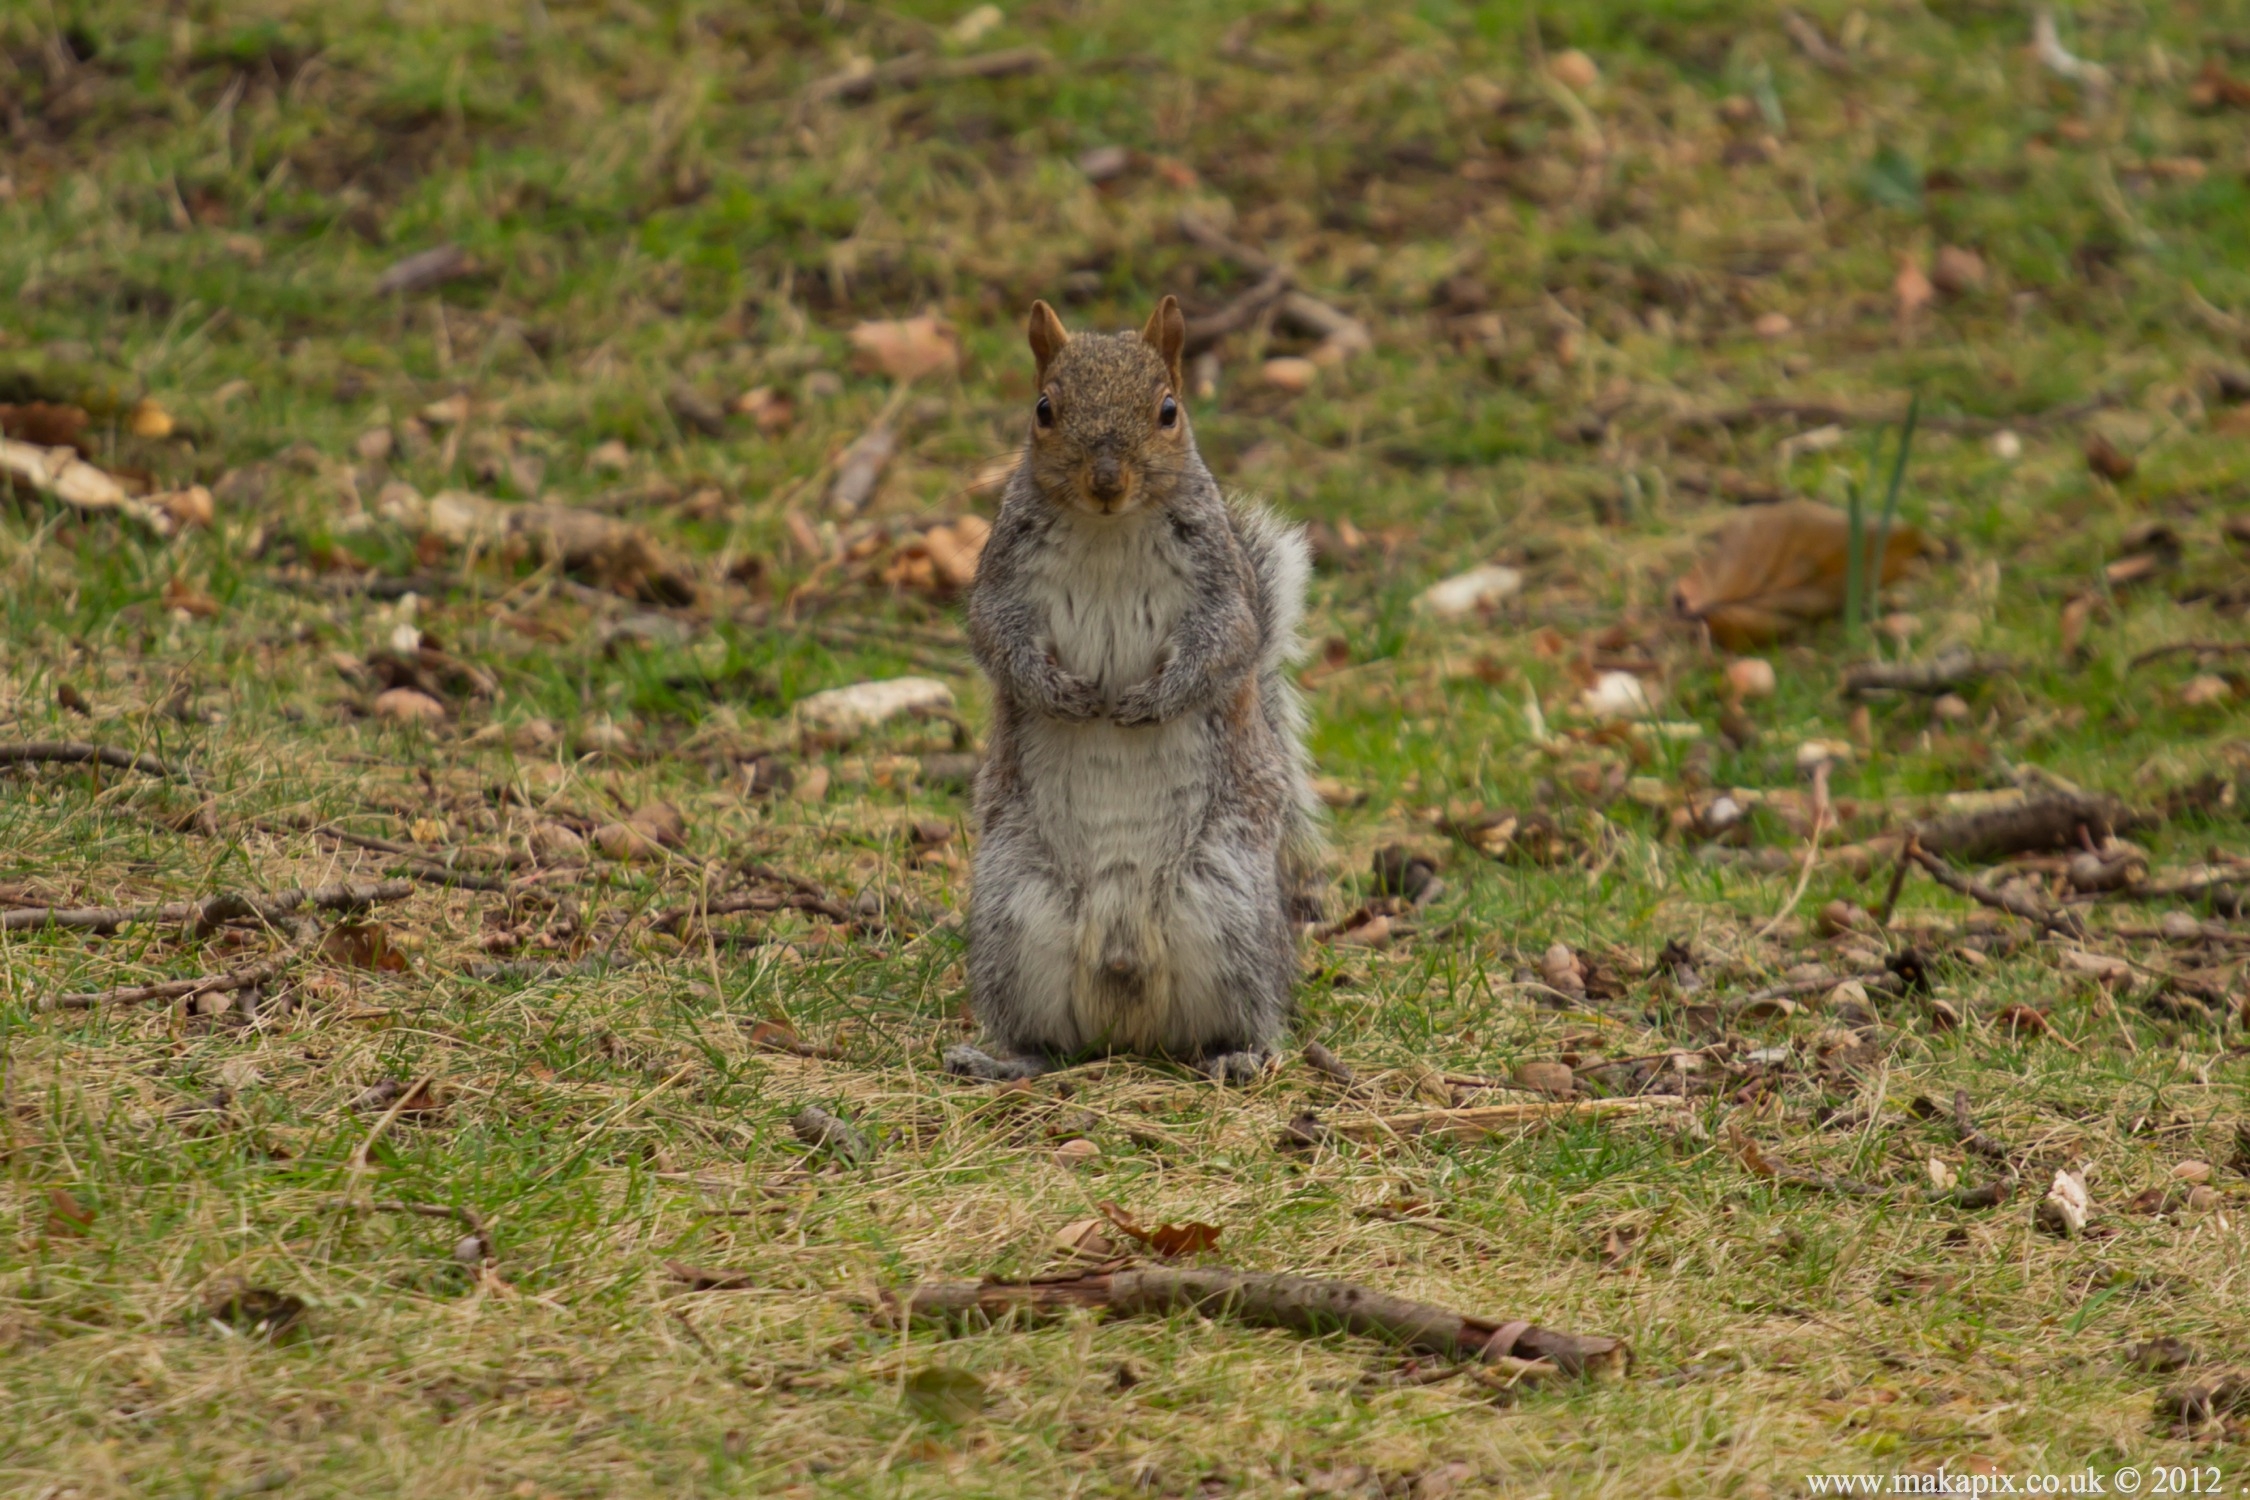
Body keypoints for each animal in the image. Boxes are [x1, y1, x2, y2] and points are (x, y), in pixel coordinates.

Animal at [945, 299, 1314, 1083]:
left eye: (1169, 409)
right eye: (1044, 409)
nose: (1107, 480)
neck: (1107, 530)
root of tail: (1128, 1018)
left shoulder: (1222, 587)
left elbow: (1225, 644)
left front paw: (1150, 700)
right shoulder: (999, 581)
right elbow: (996, 640)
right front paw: (1060, 694)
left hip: (1229, 907)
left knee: (1251, 1011)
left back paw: (1242, 1056)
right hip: (1012, 913)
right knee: (1047, 1041)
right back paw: (1002, 1062)